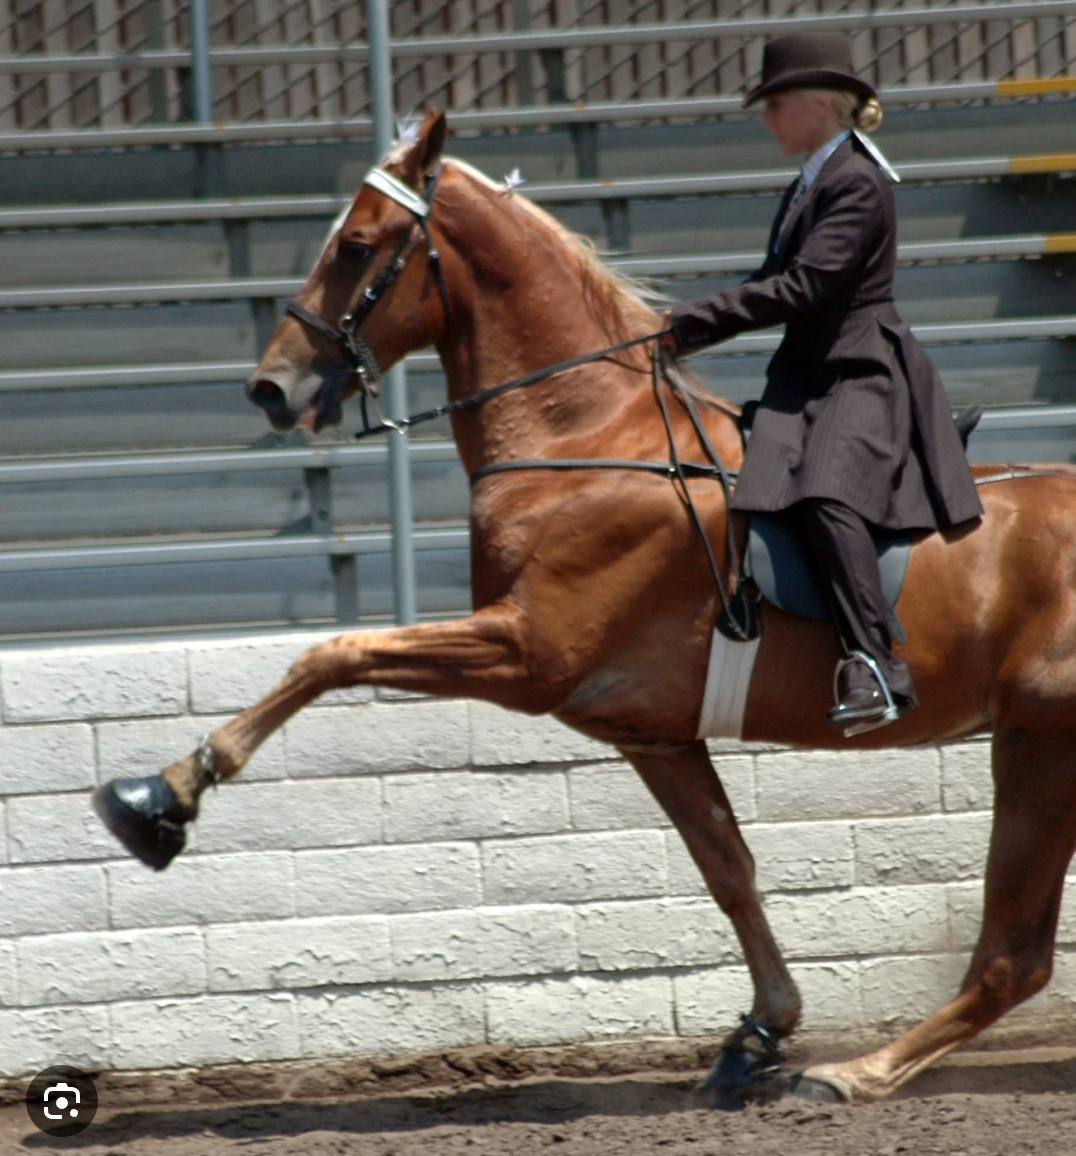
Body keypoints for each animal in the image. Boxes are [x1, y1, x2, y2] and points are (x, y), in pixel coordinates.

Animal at [93, 109, 1076, 1107]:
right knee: (1018, 954)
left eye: (358, 245)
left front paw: (160, 798)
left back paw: (852, 1075)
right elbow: (729, 869)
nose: (271, 387)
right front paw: (759, 1033)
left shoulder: (527, 655)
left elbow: (332, 655)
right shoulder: (653, 734)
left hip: (1039, 745)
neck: (583, 440)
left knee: (1012, 958)